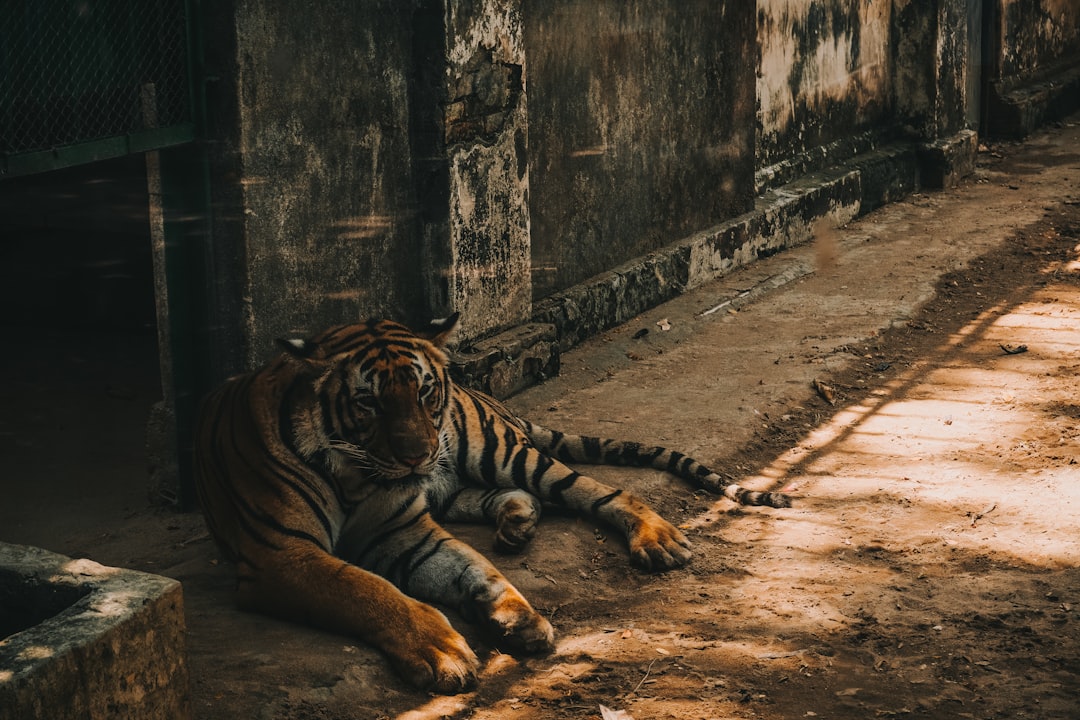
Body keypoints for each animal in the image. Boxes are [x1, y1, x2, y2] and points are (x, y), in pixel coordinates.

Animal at [194, 314, 791, 693]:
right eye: (368, 402)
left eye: (423, 391)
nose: (417, 455)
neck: (356, 477)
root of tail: (486, 395)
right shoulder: (282, 556)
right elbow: (367, 590)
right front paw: (445, 650)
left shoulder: (403, 529)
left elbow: (473, 568)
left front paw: (517, 618)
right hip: (457, 485)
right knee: (511, 499)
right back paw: (517, 523)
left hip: (500, 452)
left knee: (600, 489)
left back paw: (656, 539)